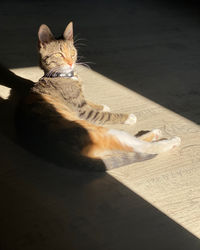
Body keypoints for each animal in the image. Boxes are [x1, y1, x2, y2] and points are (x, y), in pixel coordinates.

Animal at [1, 21, 181, 171]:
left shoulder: (83, 103)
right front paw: (125, 116)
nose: (71, 62)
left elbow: (90, 101)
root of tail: (58, 153)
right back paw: (170, 142)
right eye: (59, 54)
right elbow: (105, 115)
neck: (63, 75)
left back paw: (156, 133)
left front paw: (103, 105)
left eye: (73, 52)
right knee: (138, 146)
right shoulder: (83, 111)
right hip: (99, 131)